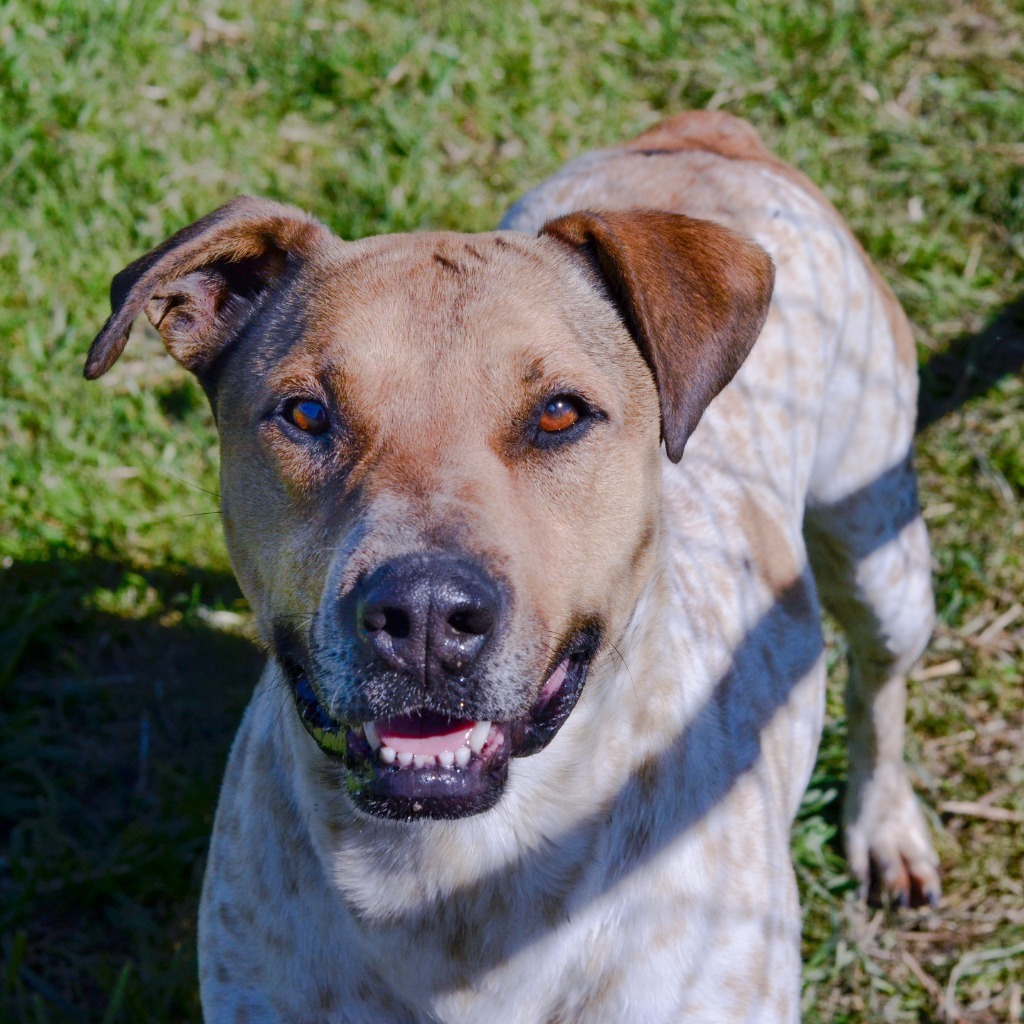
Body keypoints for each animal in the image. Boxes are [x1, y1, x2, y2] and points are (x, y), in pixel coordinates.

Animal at [88, 108, 942, 1019]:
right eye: (307, 413)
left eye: (561, 413)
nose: (426, 614)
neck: (456, 876)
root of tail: (703, 134)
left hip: (882, 546)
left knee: (880, 685)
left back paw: (886, 829)